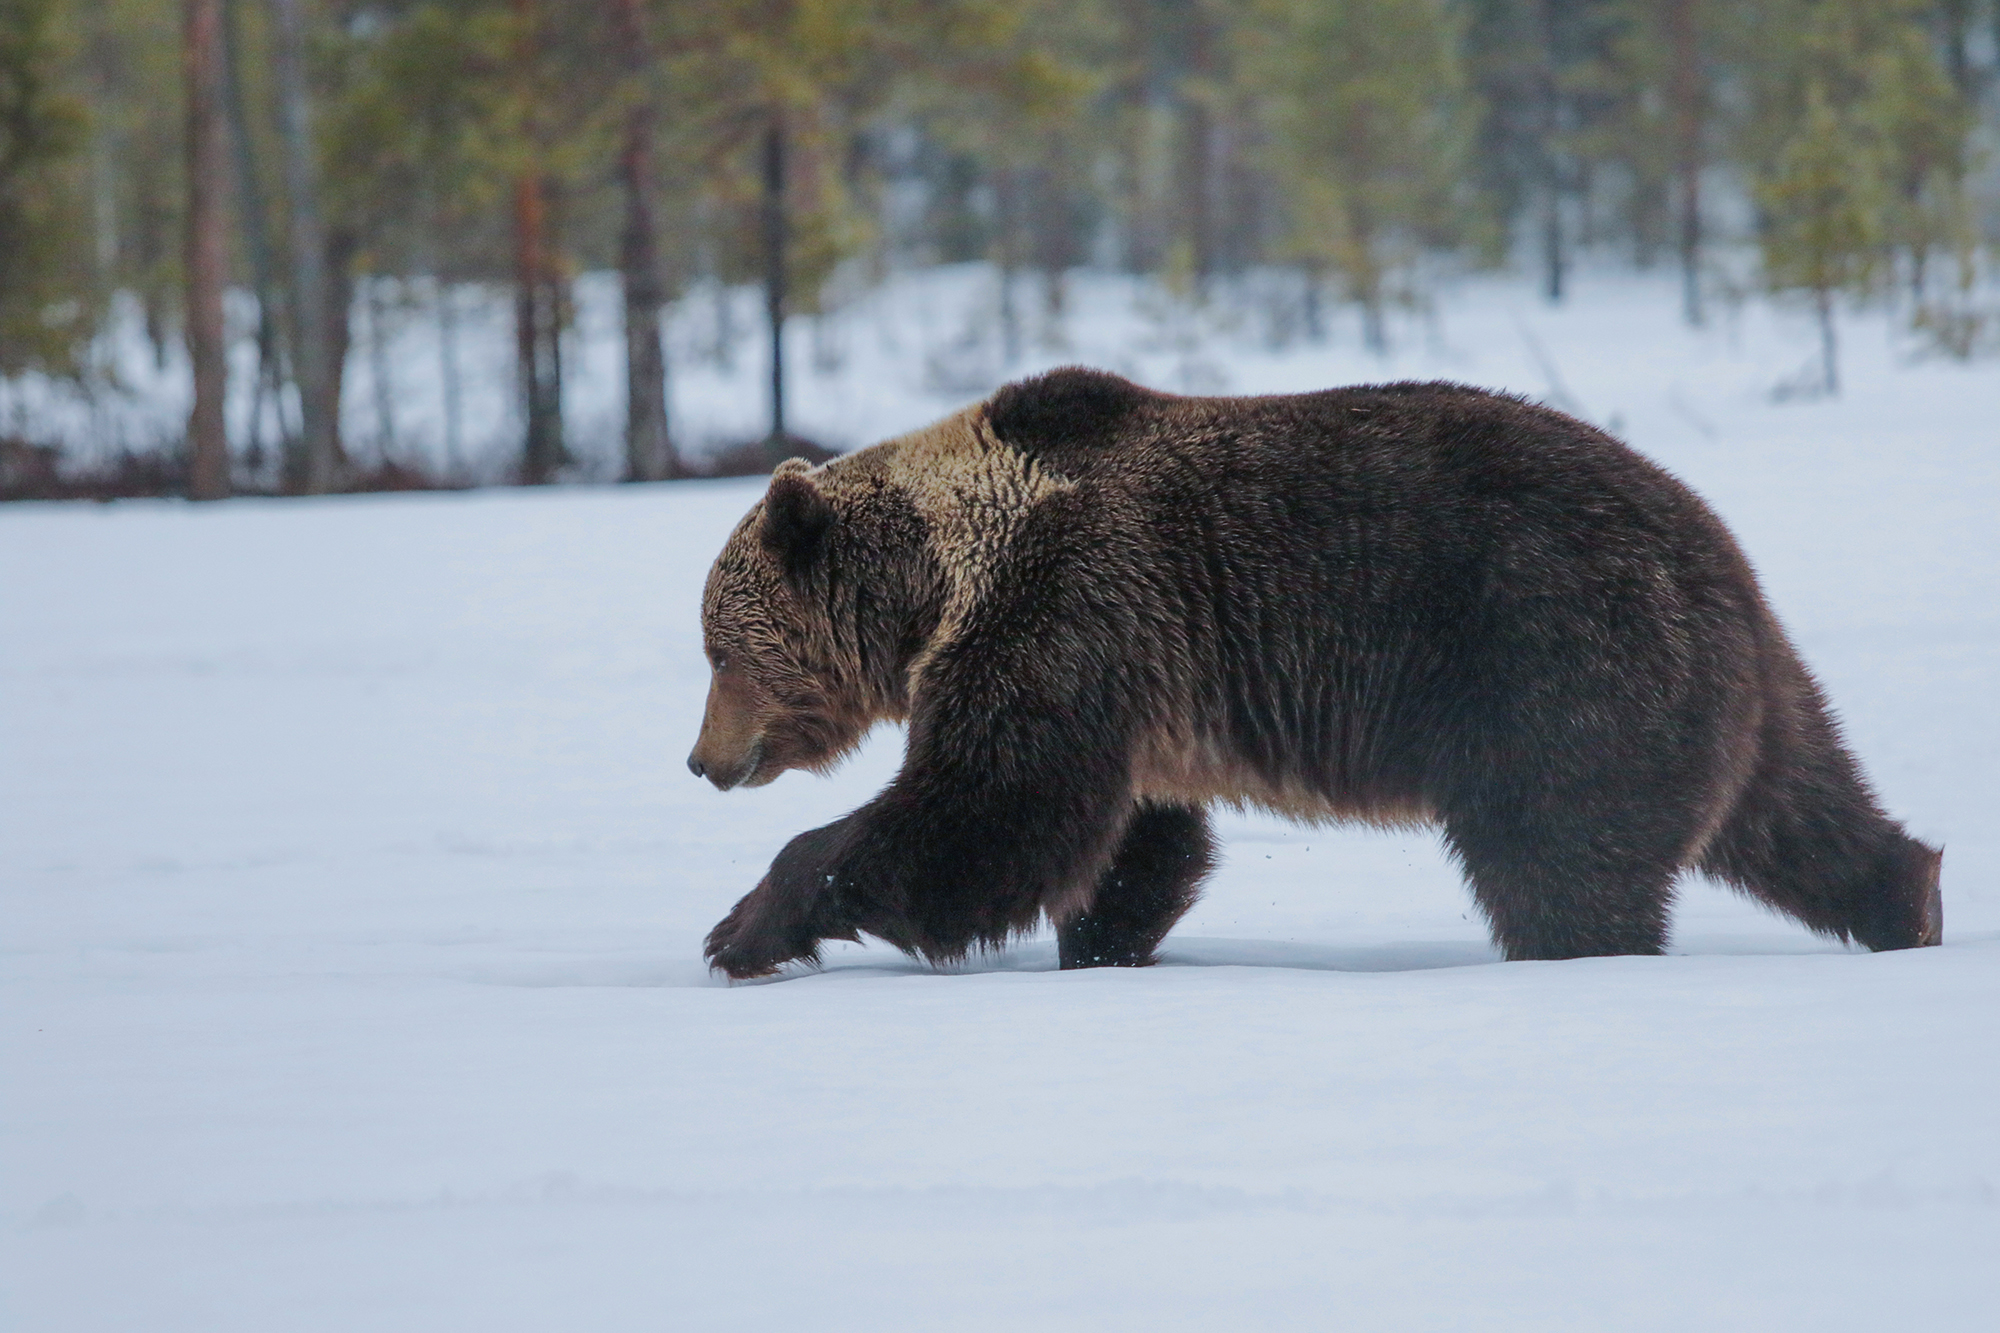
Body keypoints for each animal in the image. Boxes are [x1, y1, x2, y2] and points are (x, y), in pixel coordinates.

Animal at [689, 368, 1942, 979]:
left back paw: (1580, 955)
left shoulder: (1061, 607)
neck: (938, 581)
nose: (701, 760)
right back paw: (1909, 902)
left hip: (1555, 660)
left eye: (717, 647)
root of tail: (1716, 548)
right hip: (1726, 686)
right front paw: (1102, 945)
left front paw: (744, 926)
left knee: (1562, 856)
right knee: (1796, 811)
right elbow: (1133, 841)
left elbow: (989, 811)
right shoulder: (1129, 675)